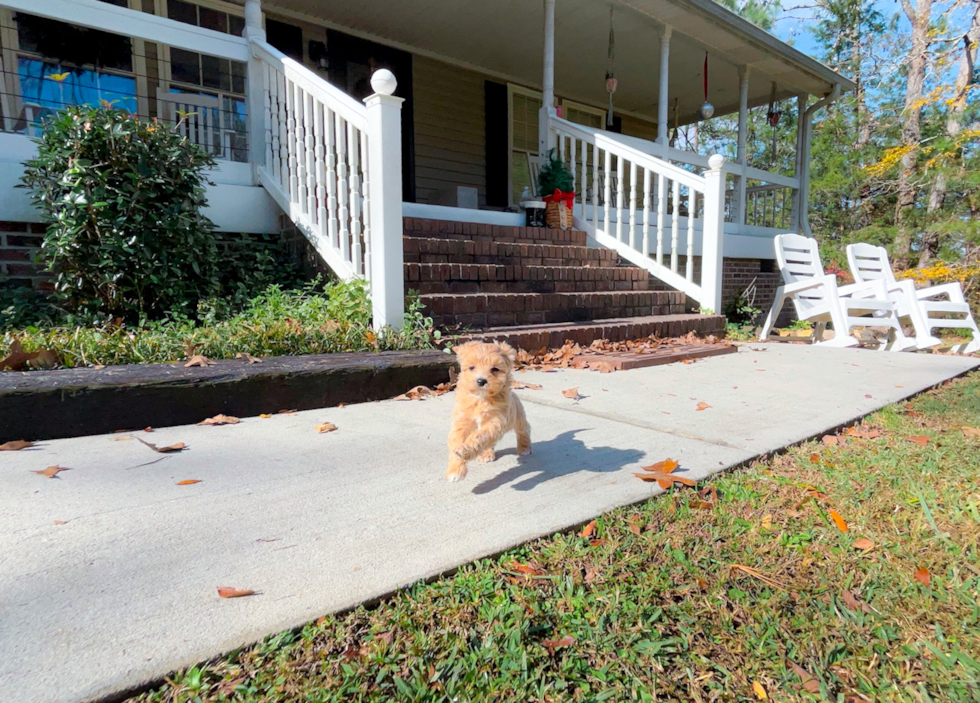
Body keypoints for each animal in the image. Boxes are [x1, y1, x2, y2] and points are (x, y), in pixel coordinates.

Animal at [448, 342, 532, 484]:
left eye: (495, 369)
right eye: (471, 367)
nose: (481, 381)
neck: (481, 398)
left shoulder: (495, 422)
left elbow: (478, 436)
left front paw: (465, 450)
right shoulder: (462, 421)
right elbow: (458, 441)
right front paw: (455, 470)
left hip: (518, 417)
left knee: (523, 430)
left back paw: (525, 448)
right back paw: (486, 454)